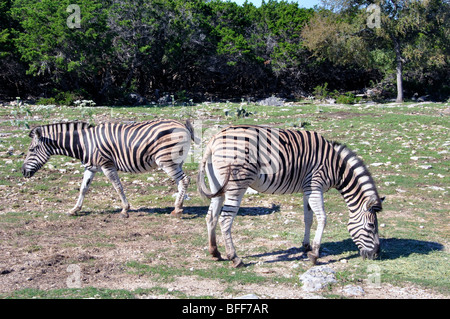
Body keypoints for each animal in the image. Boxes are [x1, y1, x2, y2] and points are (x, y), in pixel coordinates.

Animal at [22, 119, 199, 219]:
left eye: (31, 150)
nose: (23, 172)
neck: (84, 144)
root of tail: (182, 125)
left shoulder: (107, 165)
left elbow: (118, 187)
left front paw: (125, 210)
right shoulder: (91, 167)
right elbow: (83, 188)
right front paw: (75, 209)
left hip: (166, 160)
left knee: (185, 179)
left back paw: (177, 210)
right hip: (176, 161)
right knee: (180, 182)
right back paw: (179, 206)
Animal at [199, 125, 384, 268]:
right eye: (371, 226)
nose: (376, 254)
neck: (337, 167)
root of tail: (214, 140)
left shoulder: (307, 189)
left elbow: (308, 218)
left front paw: (306, 246)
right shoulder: (315, 185)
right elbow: (322, 218)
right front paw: (315, 255)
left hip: (217, 184)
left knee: (211, 217)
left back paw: (215, 252)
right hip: (237, 184)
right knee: (225, 219)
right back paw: (235, 258)